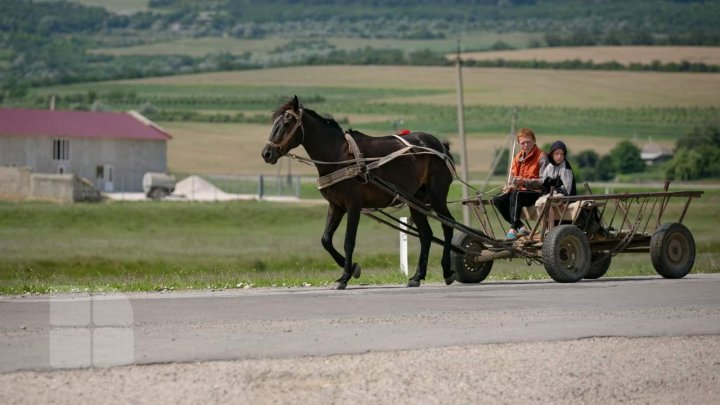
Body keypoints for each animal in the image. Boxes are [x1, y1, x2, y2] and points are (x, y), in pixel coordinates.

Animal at [262, 96, 456, 288]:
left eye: (287, 122)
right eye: (275, 122)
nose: (266, 153)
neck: (339, 156)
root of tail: (441, 145)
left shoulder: (353, 205)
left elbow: (349, 241)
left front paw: (345, 276)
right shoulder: (336, 205)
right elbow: (326, 240)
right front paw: (353, 268)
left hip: (437, 197)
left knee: (448, 225)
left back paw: (447, 270)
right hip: (415, 201)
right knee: (426, 234)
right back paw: (417, 276)